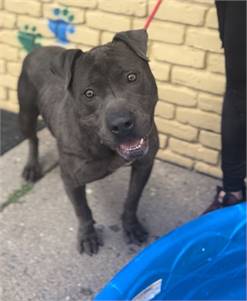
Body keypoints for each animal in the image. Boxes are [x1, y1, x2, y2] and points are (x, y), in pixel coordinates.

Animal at [18, 28, 159, 254]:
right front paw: (87, 235)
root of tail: (36, 49)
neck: (103, 146)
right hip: (26, 115)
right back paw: (32, 167)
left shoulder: (144, 164)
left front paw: (131, 226)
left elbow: (132, 199)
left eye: (131, 77)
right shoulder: (71, 180)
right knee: (33, 139)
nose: (121, 124)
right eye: (89, 93)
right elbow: (82, 209)